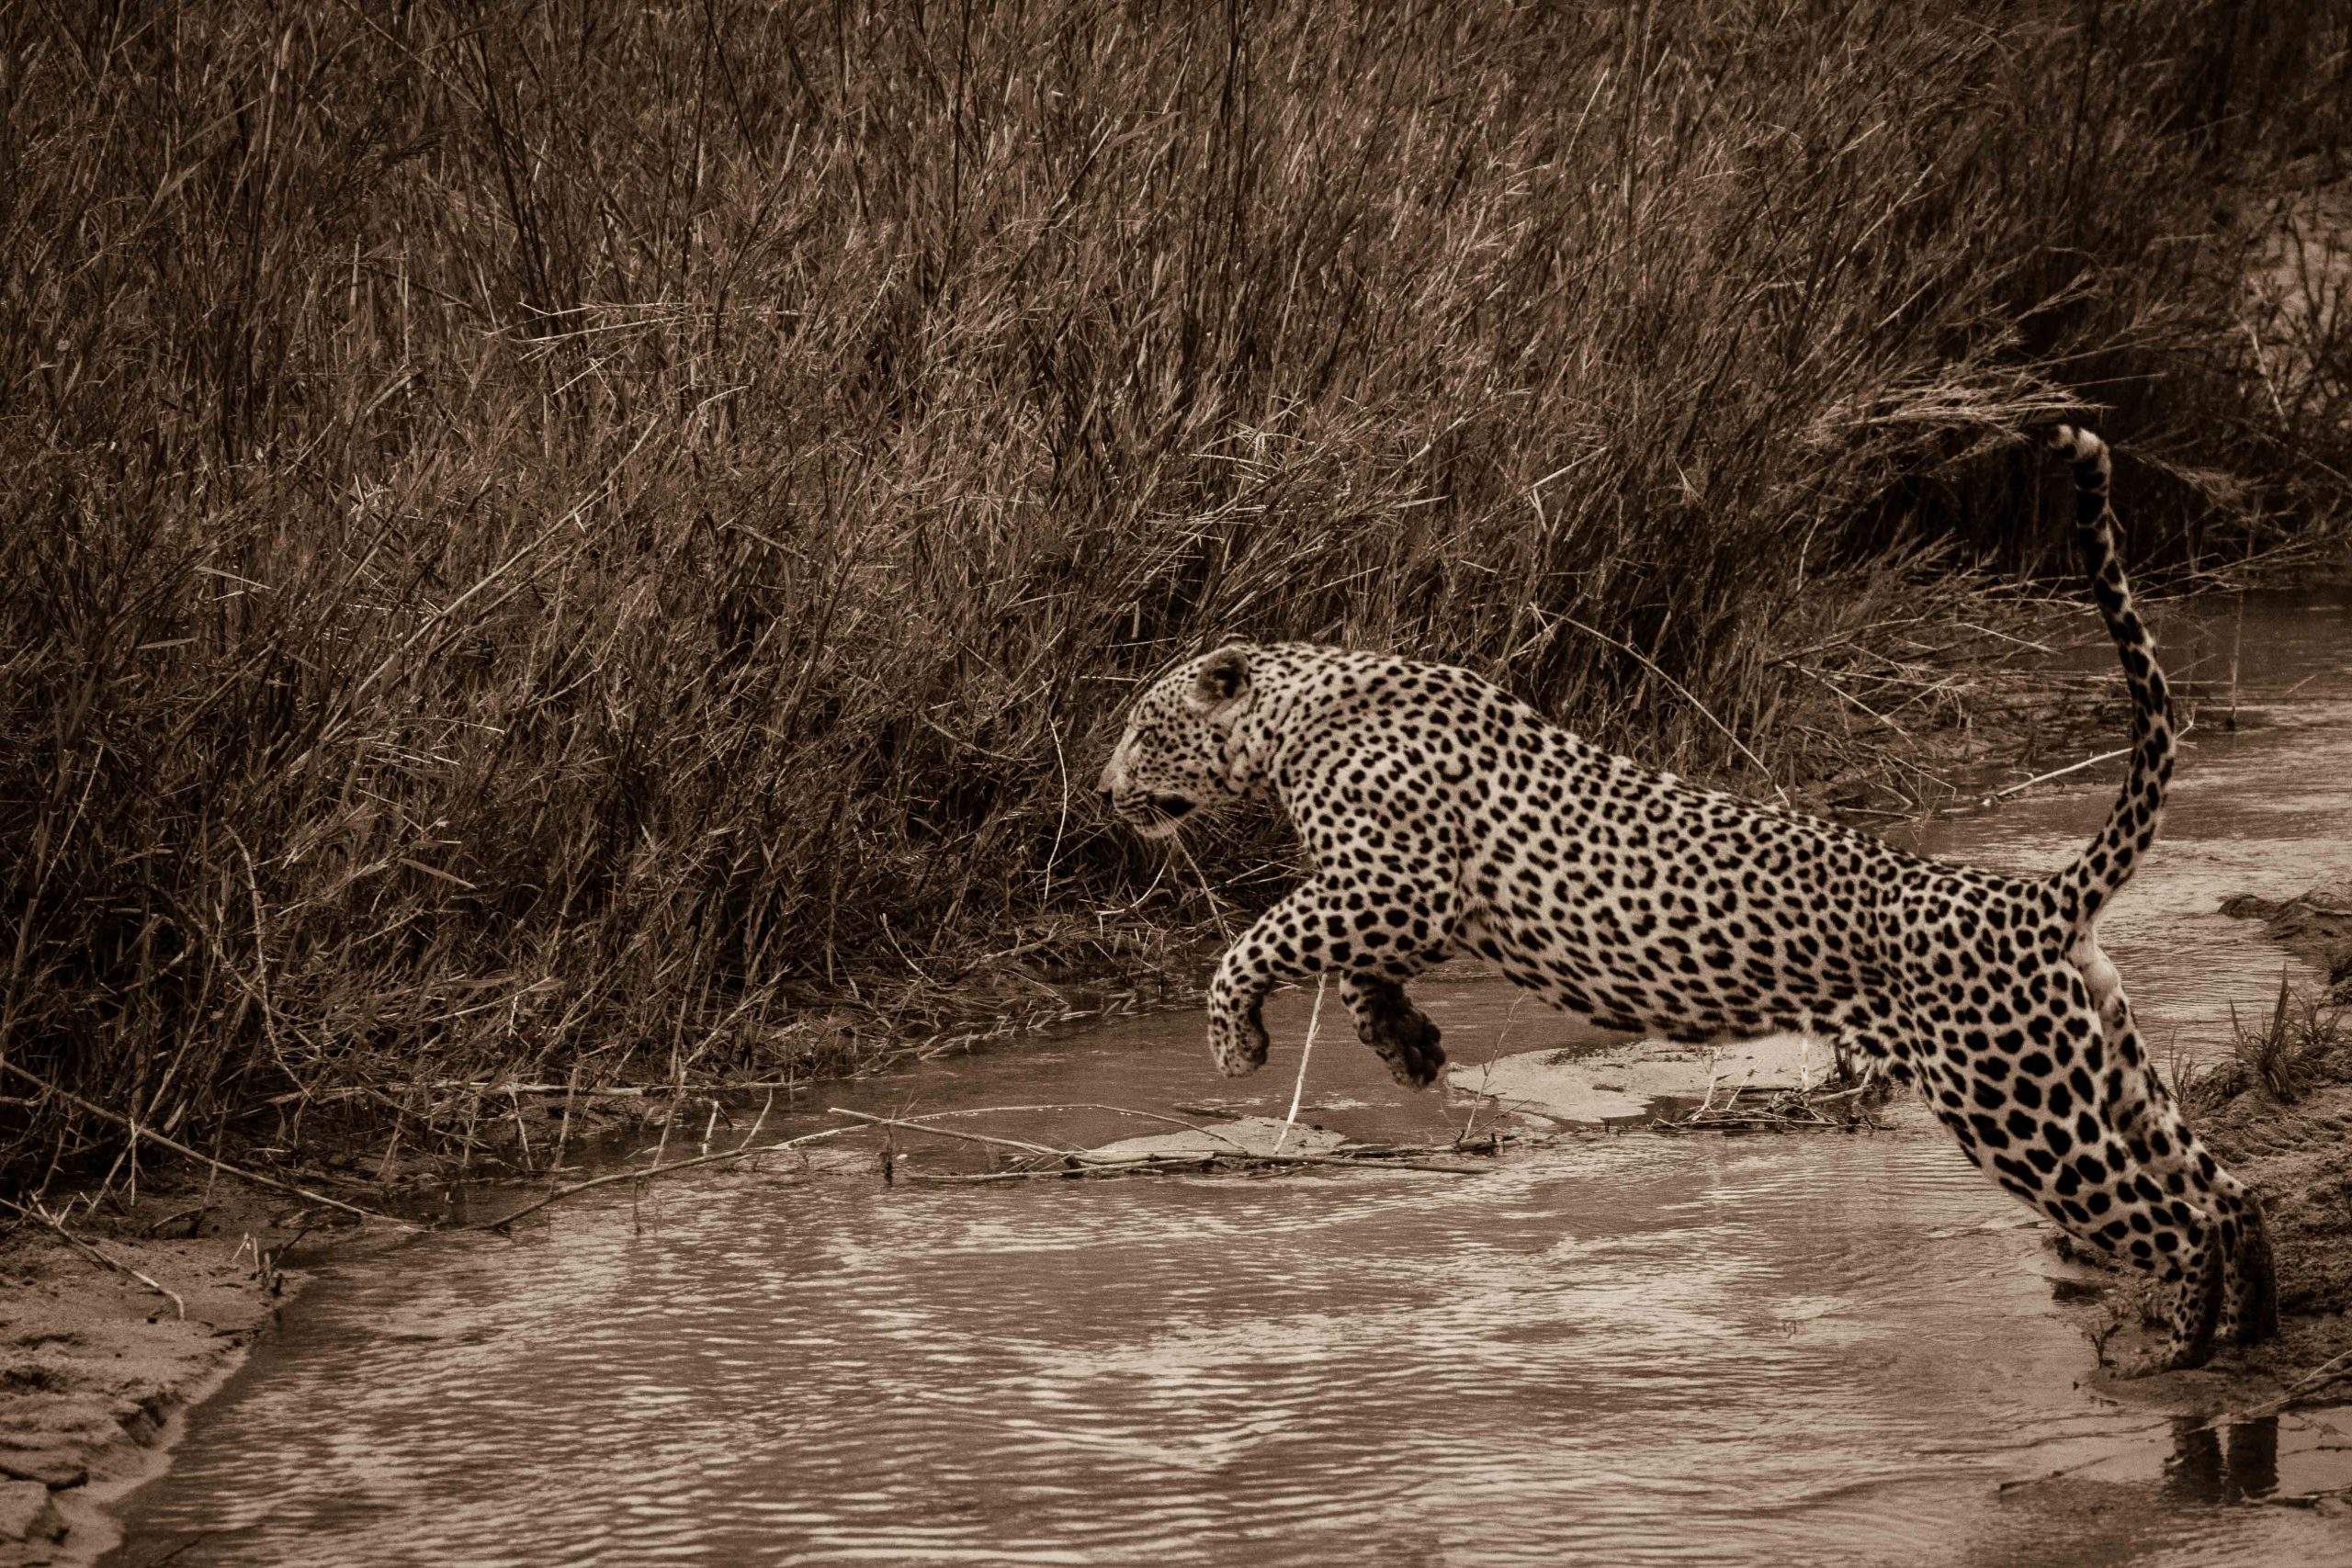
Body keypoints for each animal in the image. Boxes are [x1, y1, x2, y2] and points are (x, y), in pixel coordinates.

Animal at [1096, 427, 2276, 1372]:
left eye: (1143, 728)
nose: (1105, 793)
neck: (1297, 716)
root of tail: (2038, 898)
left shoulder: (1395, 882)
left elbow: (1261, 938)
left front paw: (1238, 1043)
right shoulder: (1391, 896)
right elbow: (1345, 968)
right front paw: (1409, 1048)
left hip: (2015, 1102)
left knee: (2172, 1218)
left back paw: (2174, 1354)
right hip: (2103, 1069)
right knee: (2227, 1194)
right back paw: (2254, 1330)